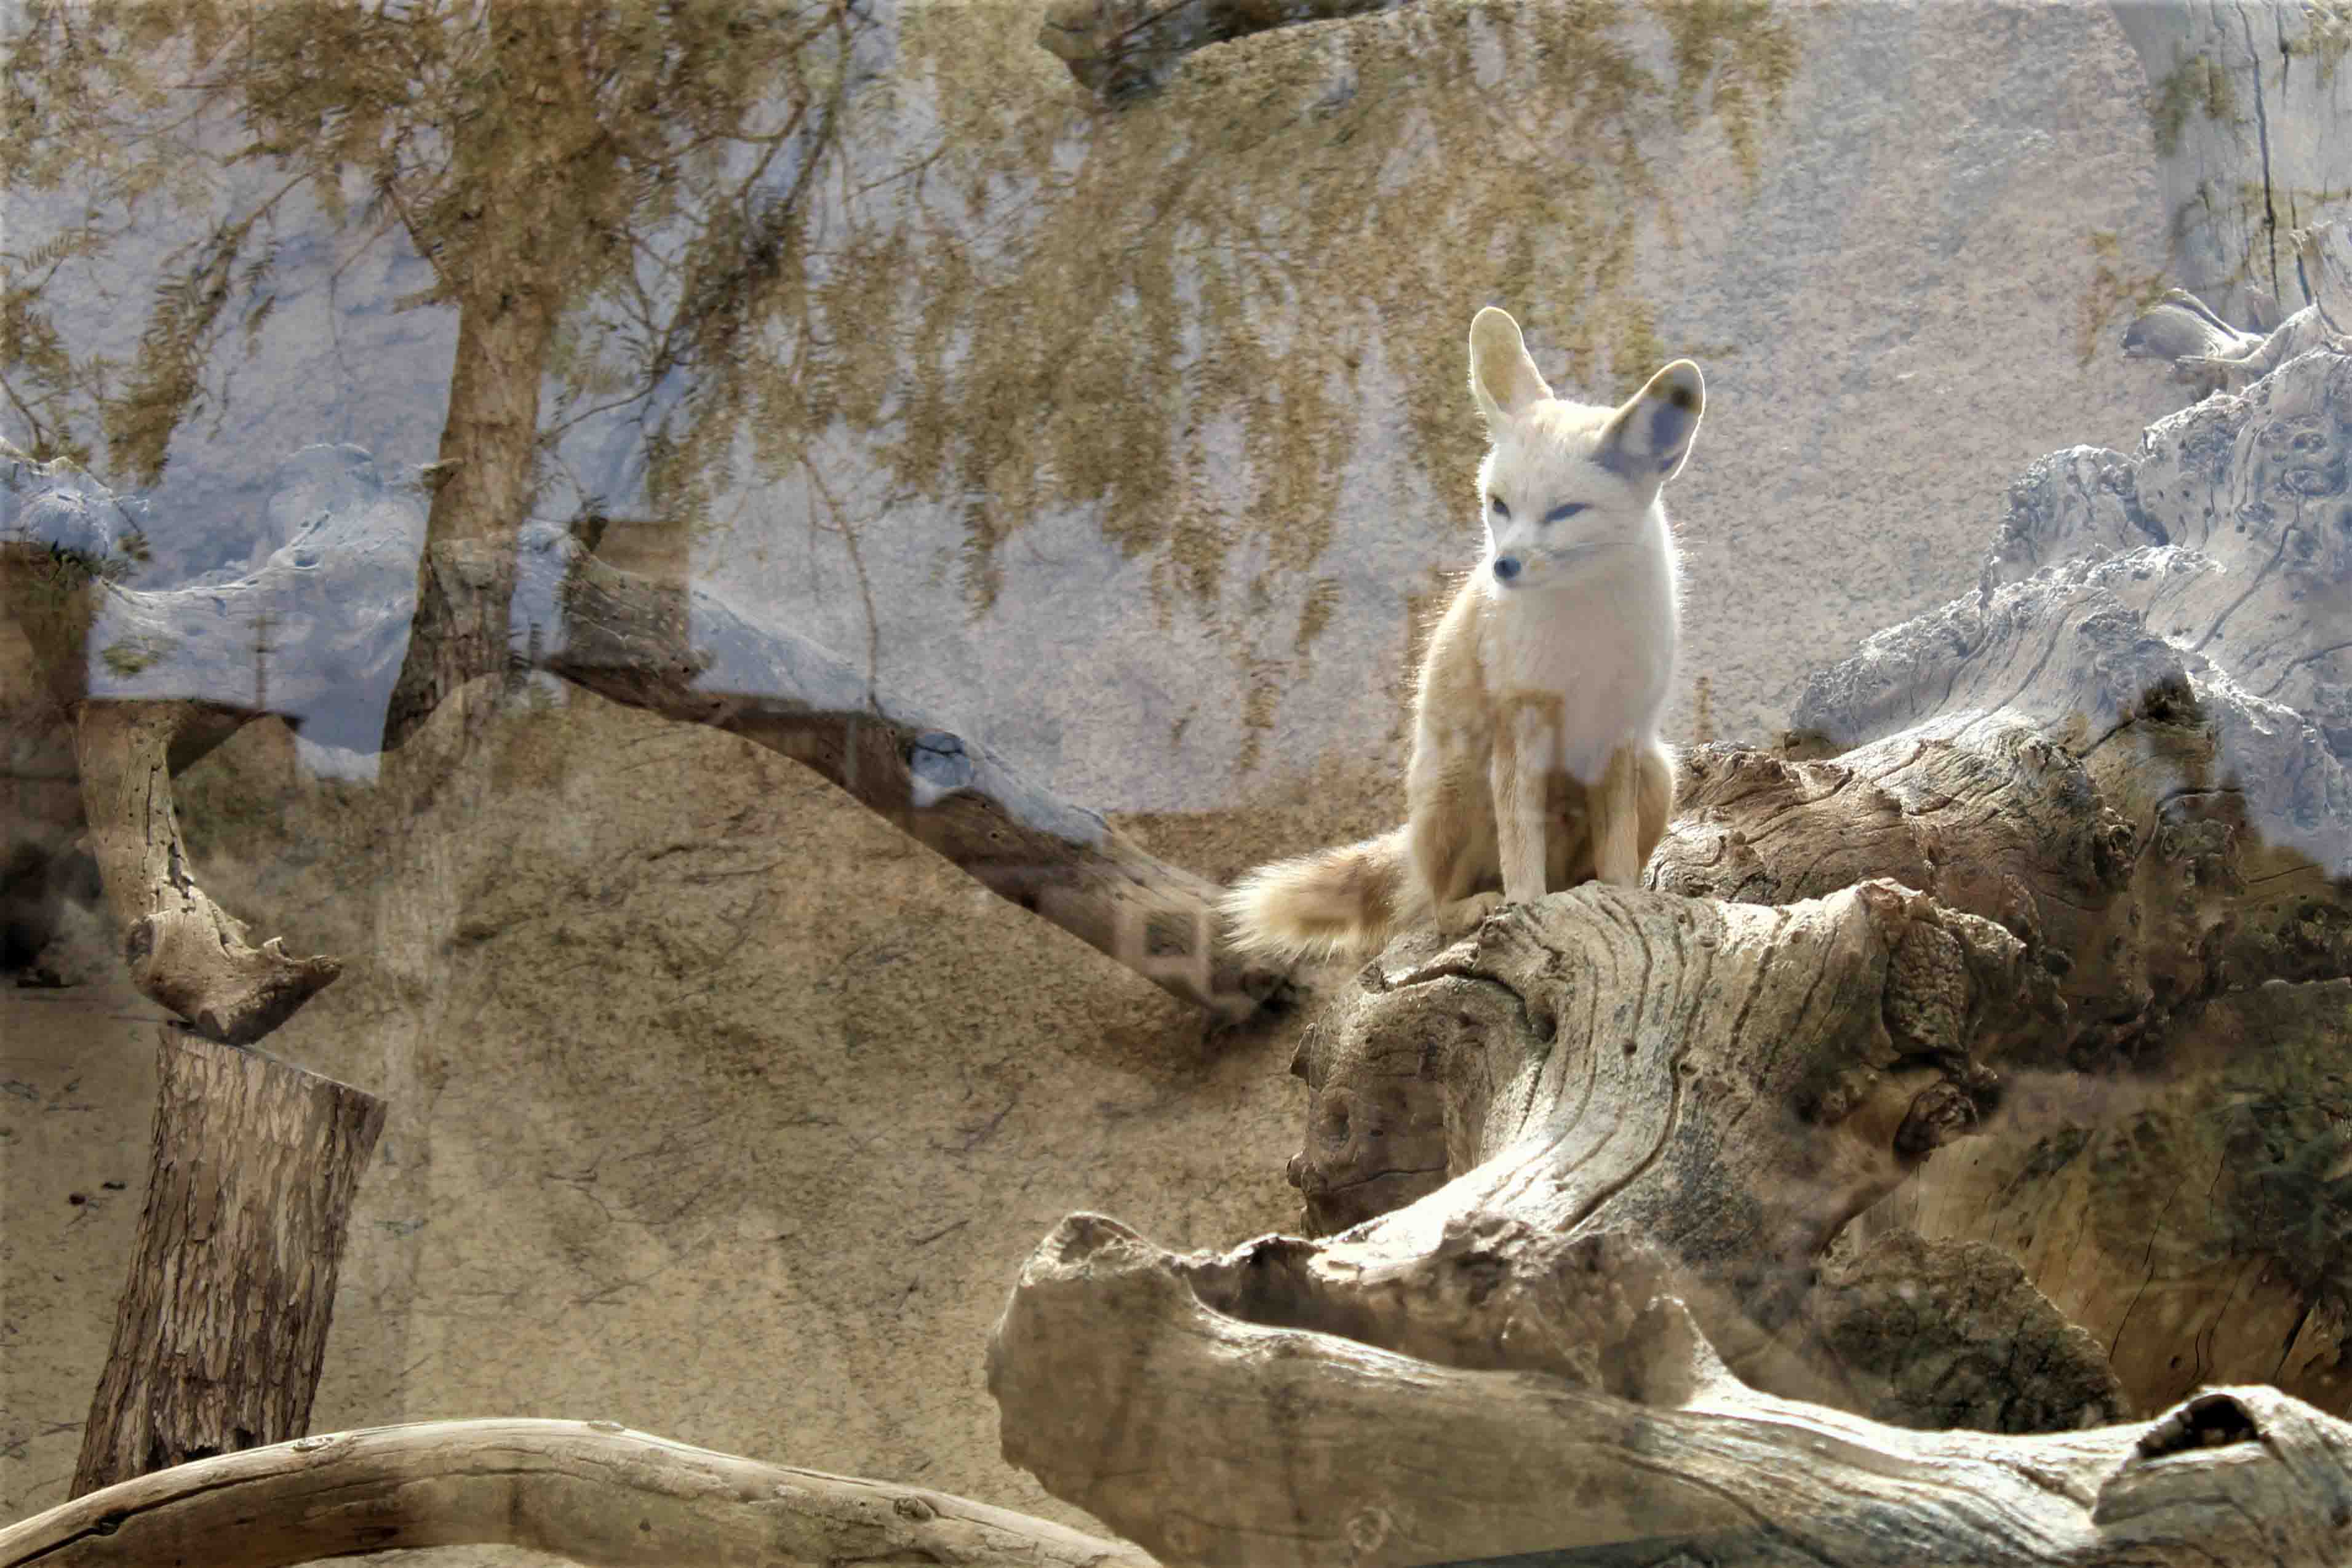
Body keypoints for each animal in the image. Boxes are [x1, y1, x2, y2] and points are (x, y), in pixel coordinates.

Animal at [1220, 305, 1701, 963]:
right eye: (1498, 505)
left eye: (1564, 512)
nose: (1504, 566)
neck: (1588, 632)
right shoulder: (1519, 721)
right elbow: (1520, 848)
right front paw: (1525, 906)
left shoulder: (1619, 730)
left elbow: (1618, 853)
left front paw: (1628, 897)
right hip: (1462, 780)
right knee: (1436, 906)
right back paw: (1477, 906)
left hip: (1659, 770)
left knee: (1569, 877)